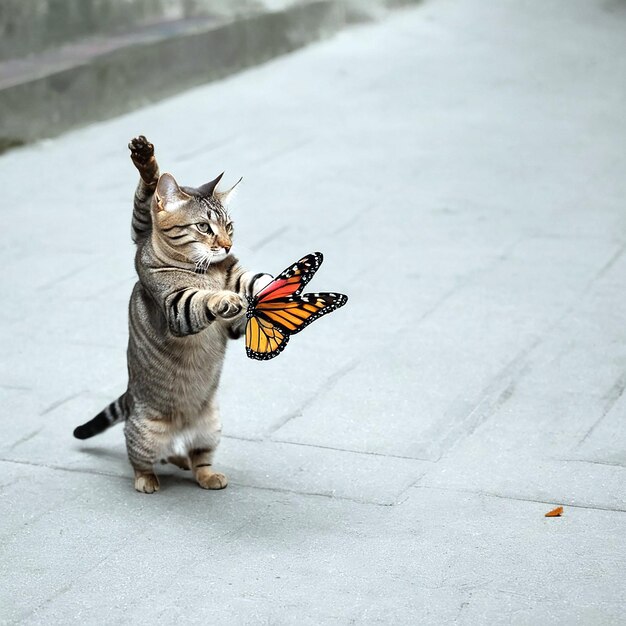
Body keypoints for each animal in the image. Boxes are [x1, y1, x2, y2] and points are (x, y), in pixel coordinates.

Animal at [72, 136, 270, 492]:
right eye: (204, 227)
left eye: (229, 226)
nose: (227, 244)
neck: (206, 271)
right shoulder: (175, 306)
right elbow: (201, 299)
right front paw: (223, 297)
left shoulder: (234, 292)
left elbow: (253, 280)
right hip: (147, 433)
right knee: (141, 456)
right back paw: (147, 479)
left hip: (210, 428)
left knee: (195, 458)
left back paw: (203, 472)